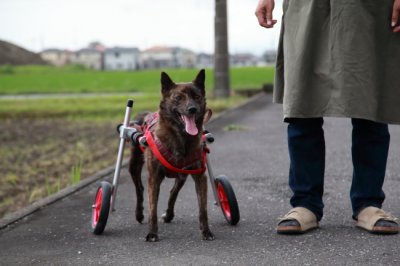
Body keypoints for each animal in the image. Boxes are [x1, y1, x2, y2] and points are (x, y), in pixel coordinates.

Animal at [130, 69, 214, 242]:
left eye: (197, 96)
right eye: (178, 97)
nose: (192, 109)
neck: (181, 138)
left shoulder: (200, 176)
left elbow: (202, 209)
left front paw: (206, 231)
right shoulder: (154, 177)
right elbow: (152, 209)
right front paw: (152, 233)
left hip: (182, 175)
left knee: (173, 192)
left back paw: (168, 215)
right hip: (134, 166)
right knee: (140, 188)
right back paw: (139, 214)